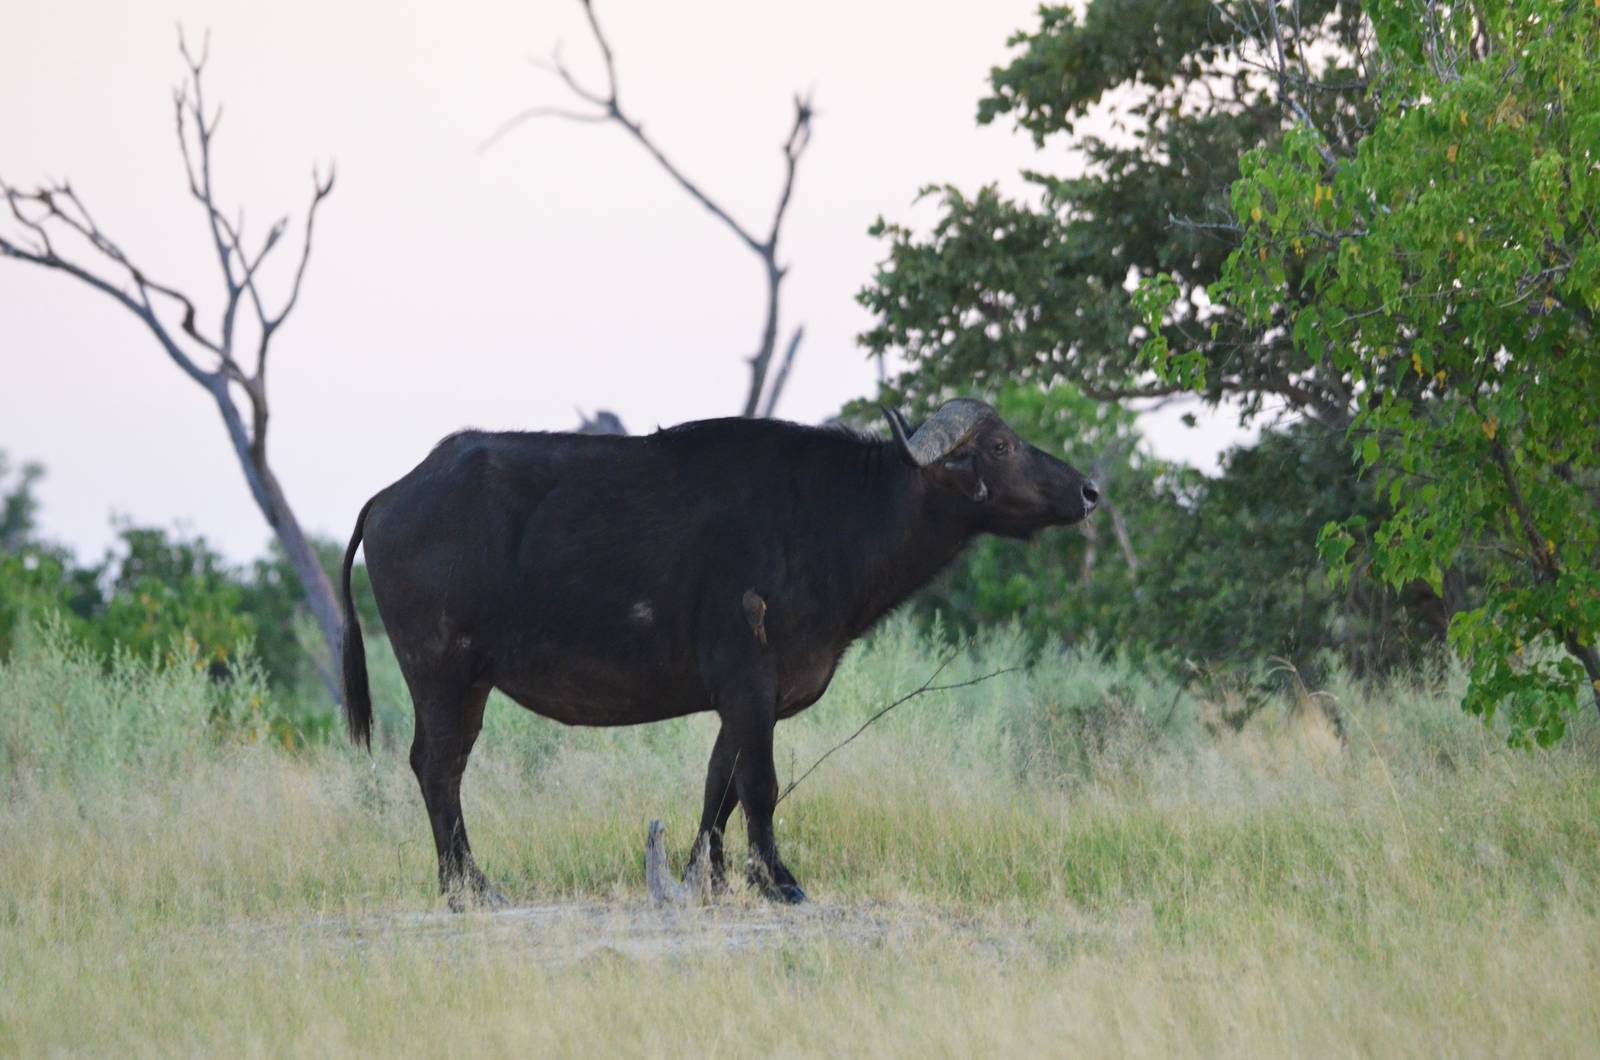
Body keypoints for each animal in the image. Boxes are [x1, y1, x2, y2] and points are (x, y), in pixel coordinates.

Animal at [339, 399, 1097, 907]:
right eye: (999, 445)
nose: (1090, 490)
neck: (832, 515)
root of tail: (389, 496)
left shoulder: (748, 700)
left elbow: (719, 787)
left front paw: (709, 877)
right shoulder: (748, 682)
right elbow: (760, 786)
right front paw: (779, 881)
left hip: (464, 683)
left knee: (439, 769)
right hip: (443, 674)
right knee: (439, 770)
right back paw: (466, 888)